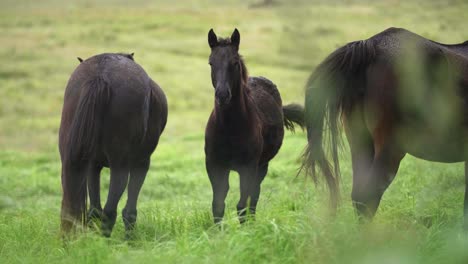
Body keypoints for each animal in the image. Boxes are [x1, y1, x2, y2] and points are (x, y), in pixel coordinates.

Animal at [59, 52, 167, 236]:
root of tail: (100, 75)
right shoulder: (141, 163)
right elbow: (129, 210)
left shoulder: (93, 165)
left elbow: (94, 209)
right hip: (121, 164)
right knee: (110, 210)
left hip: (72, 159)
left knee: (86, 209)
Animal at [206, 28, 308, 223]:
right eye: (211, 63)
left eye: (235, 63)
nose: (222, 95)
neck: (229, 129)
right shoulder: (215, 166)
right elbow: (218, 206)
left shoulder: (248, 168)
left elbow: (242, 206)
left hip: (262, 166)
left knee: (253, 198)